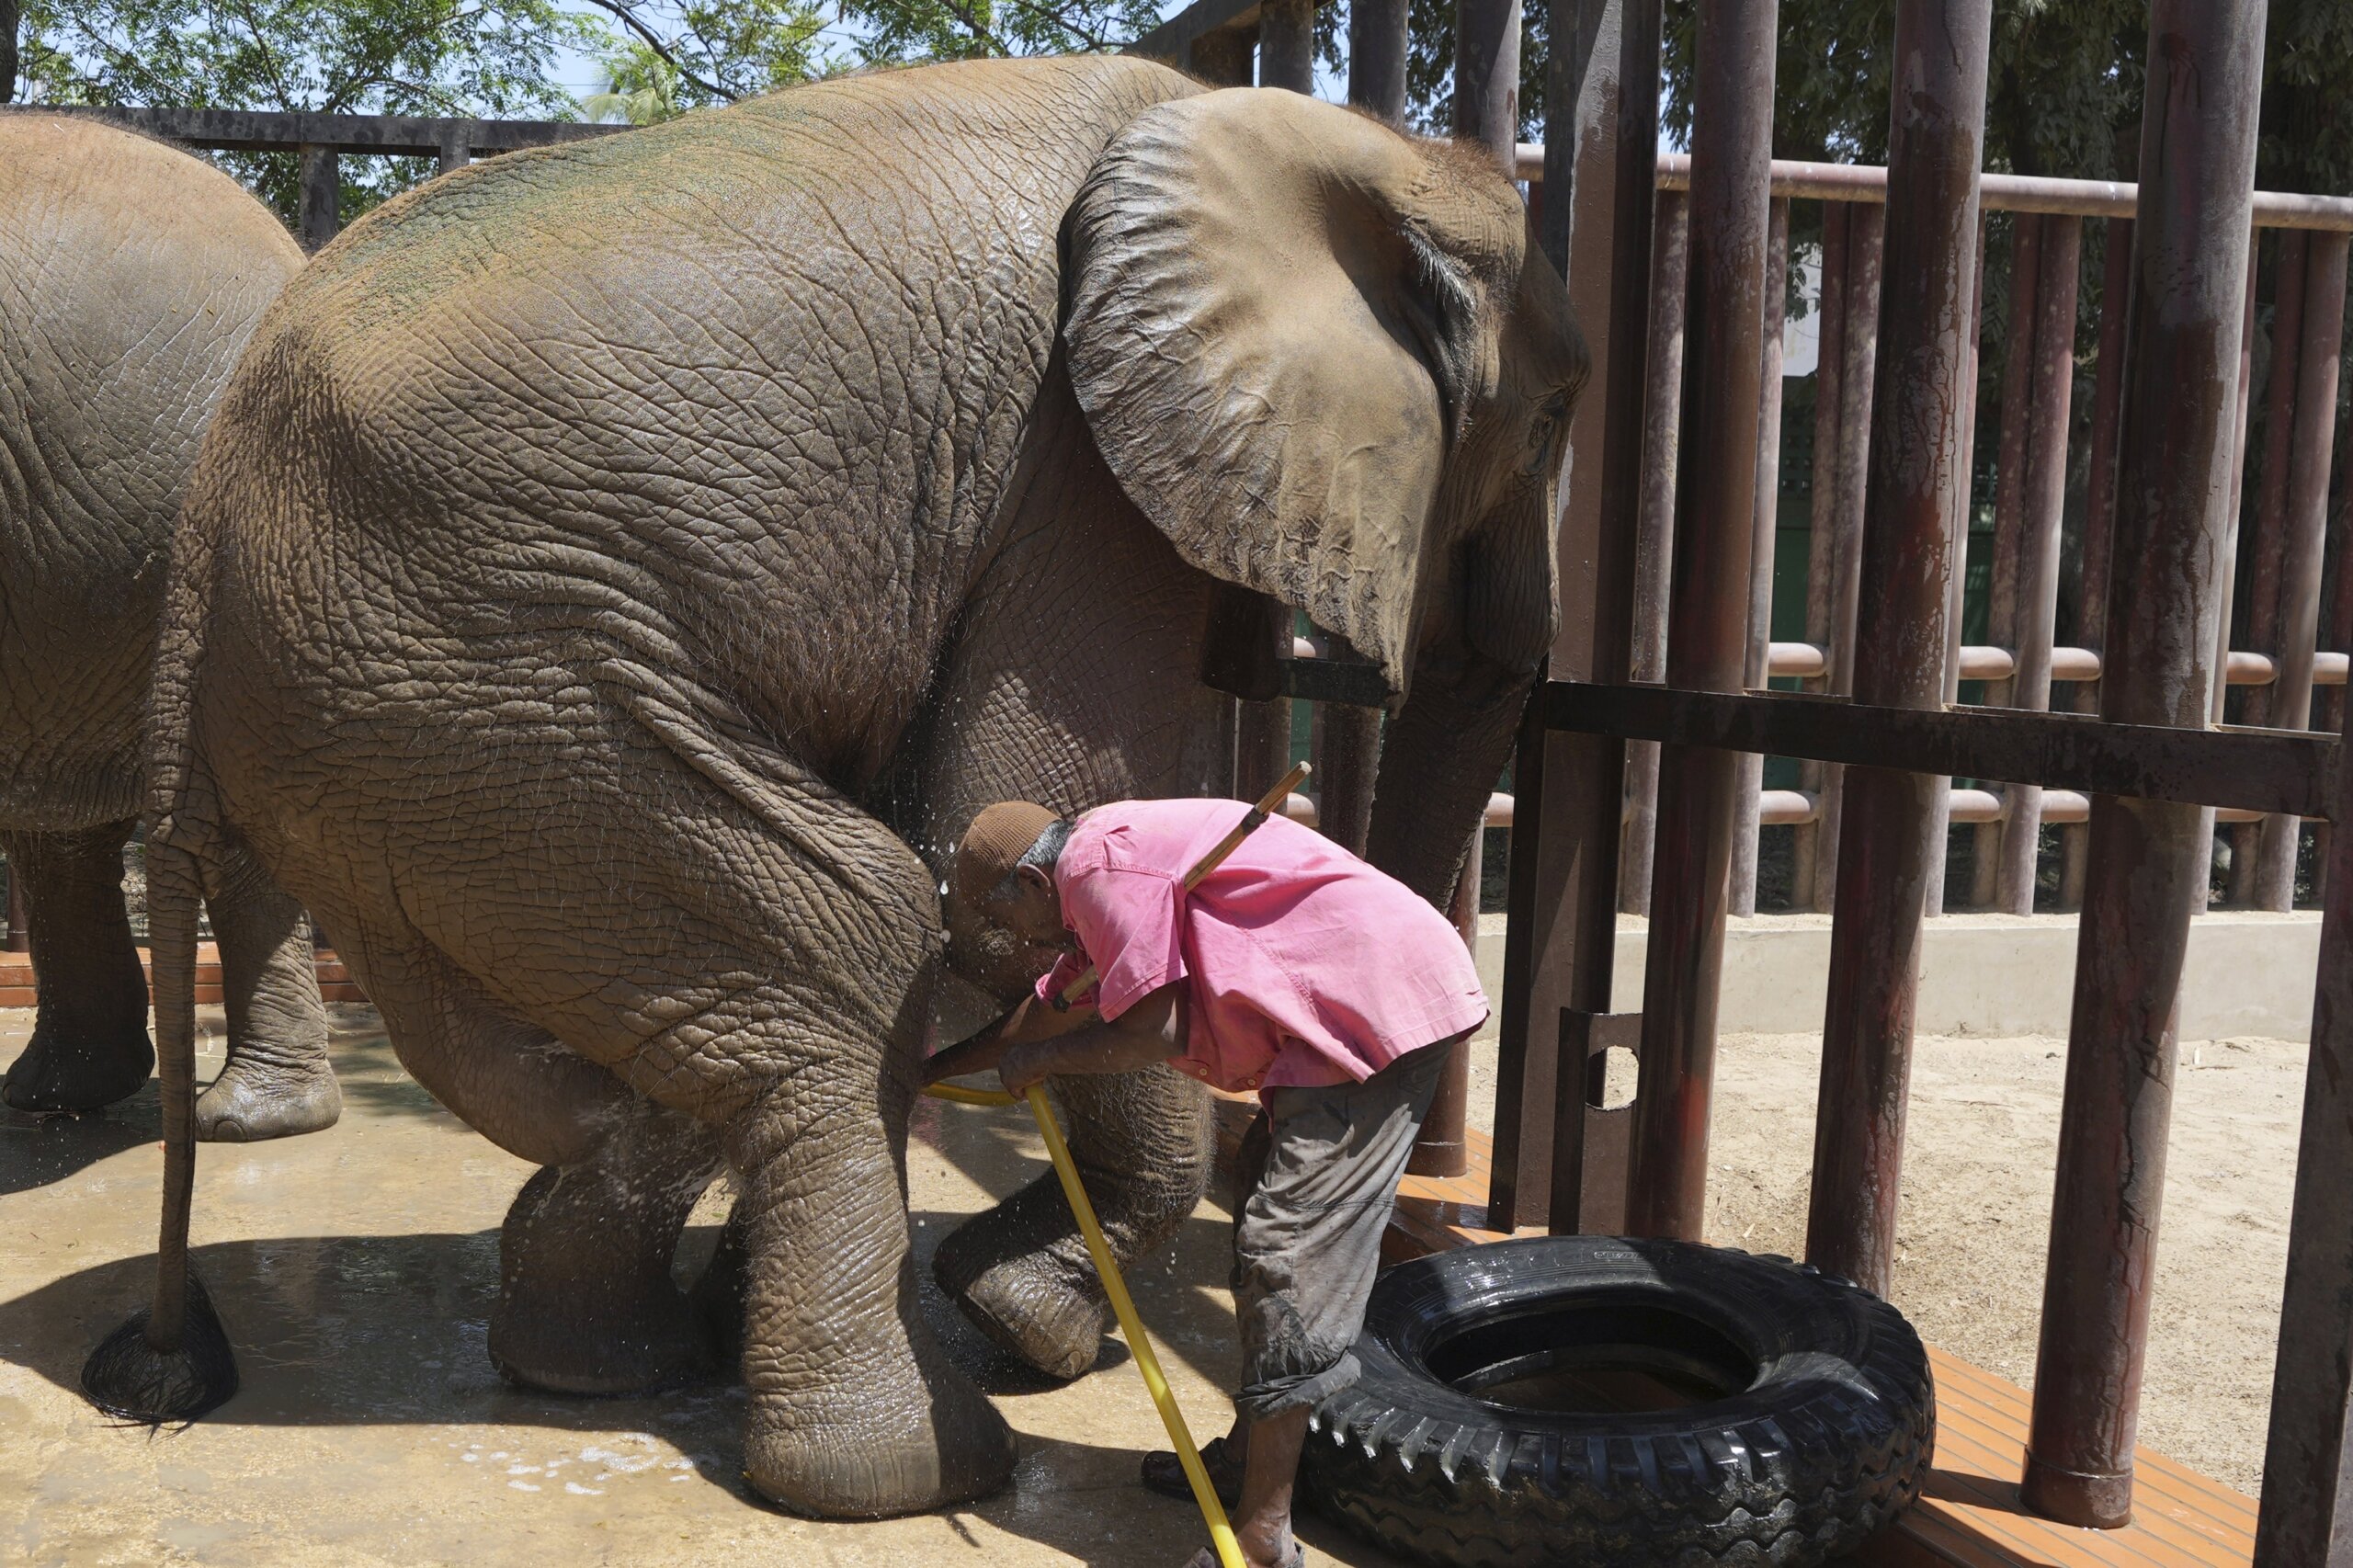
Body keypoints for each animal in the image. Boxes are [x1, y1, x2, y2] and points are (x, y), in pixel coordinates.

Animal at [91, 51, 1590, 1516]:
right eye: (1552, 419)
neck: (1337, 146)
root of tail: (210, 505)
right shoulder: (1081, 482)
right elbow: (1033, 797)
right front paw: (1030, 1322)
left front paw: (979, 1304)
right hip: (478, 674)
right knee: (853, 942)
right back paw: (909, 1470)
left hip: (400, 750)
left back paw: (607, 1349)